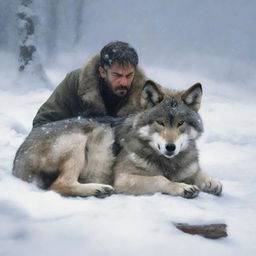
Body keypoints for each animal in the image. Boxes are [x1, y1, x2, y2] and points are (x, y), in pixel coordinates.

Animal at [13, 82, 223, 198]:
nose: (170, 147)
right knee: (59, 185)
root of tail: (17, 162)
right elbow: (160, 179)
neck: (167, 162)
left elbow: (200, 174)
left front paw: (211, 182)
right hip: (79, 139)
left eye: (180, 123)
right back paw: (98, 189)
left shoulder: (187, 168)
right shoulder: (123, 179)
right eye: (160, 122)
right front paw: (182, 187)